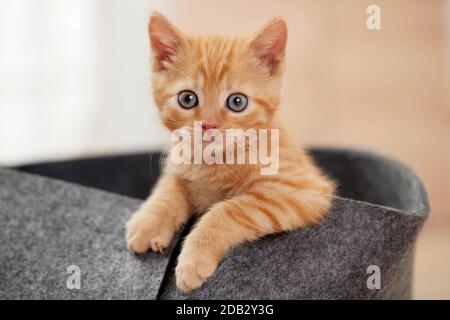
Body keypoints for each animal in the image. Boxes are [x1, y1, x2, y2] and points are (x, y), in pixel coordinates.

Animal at [125, 12, 336, 292]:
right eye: (187, 99)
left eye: (237, 102)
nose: (209, 125)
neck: (214, 161)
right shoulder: (178, 162)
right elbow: (170, 185)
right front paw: (150, 221)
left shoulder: (300, 189)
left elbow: (228, 210)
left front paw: (194, 258)